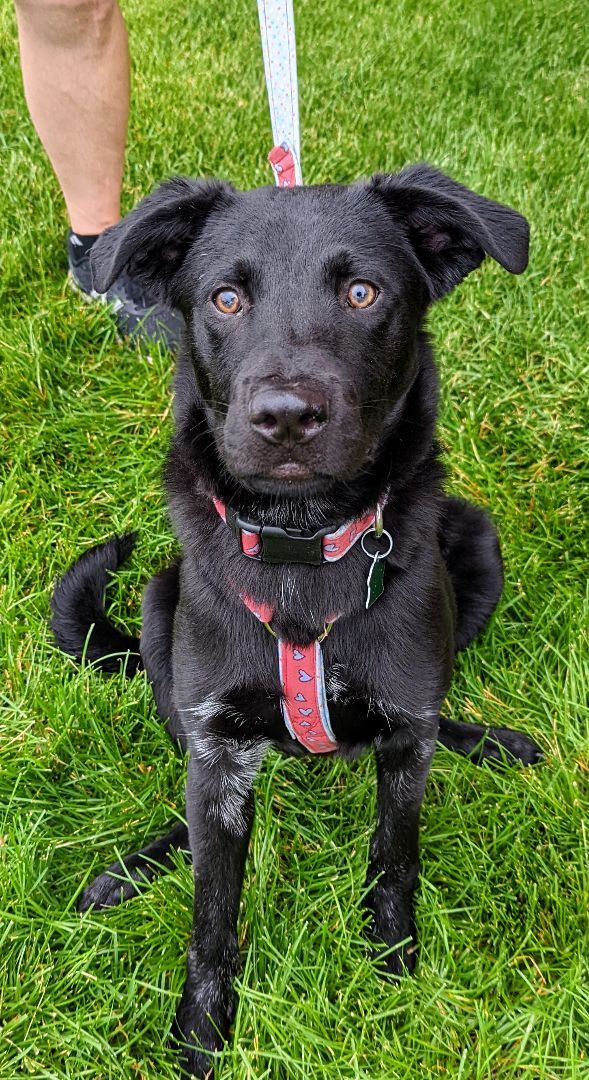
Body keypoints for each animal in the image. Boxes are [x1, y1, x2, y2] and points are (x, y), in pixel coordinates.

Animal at [51, 164, 542, 1075]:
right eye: (223, 299)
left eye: (361, 292)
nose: (284, 416)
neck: (301, 542)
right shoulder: (215, 749)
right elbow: (211, 913)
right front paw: (200, 1036)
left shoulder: (404, 737)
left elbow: (394, 857)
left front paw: (393, 965)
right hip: (159, 603)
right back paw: (134, 867)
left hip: (477, 544)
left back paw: (488, 740)